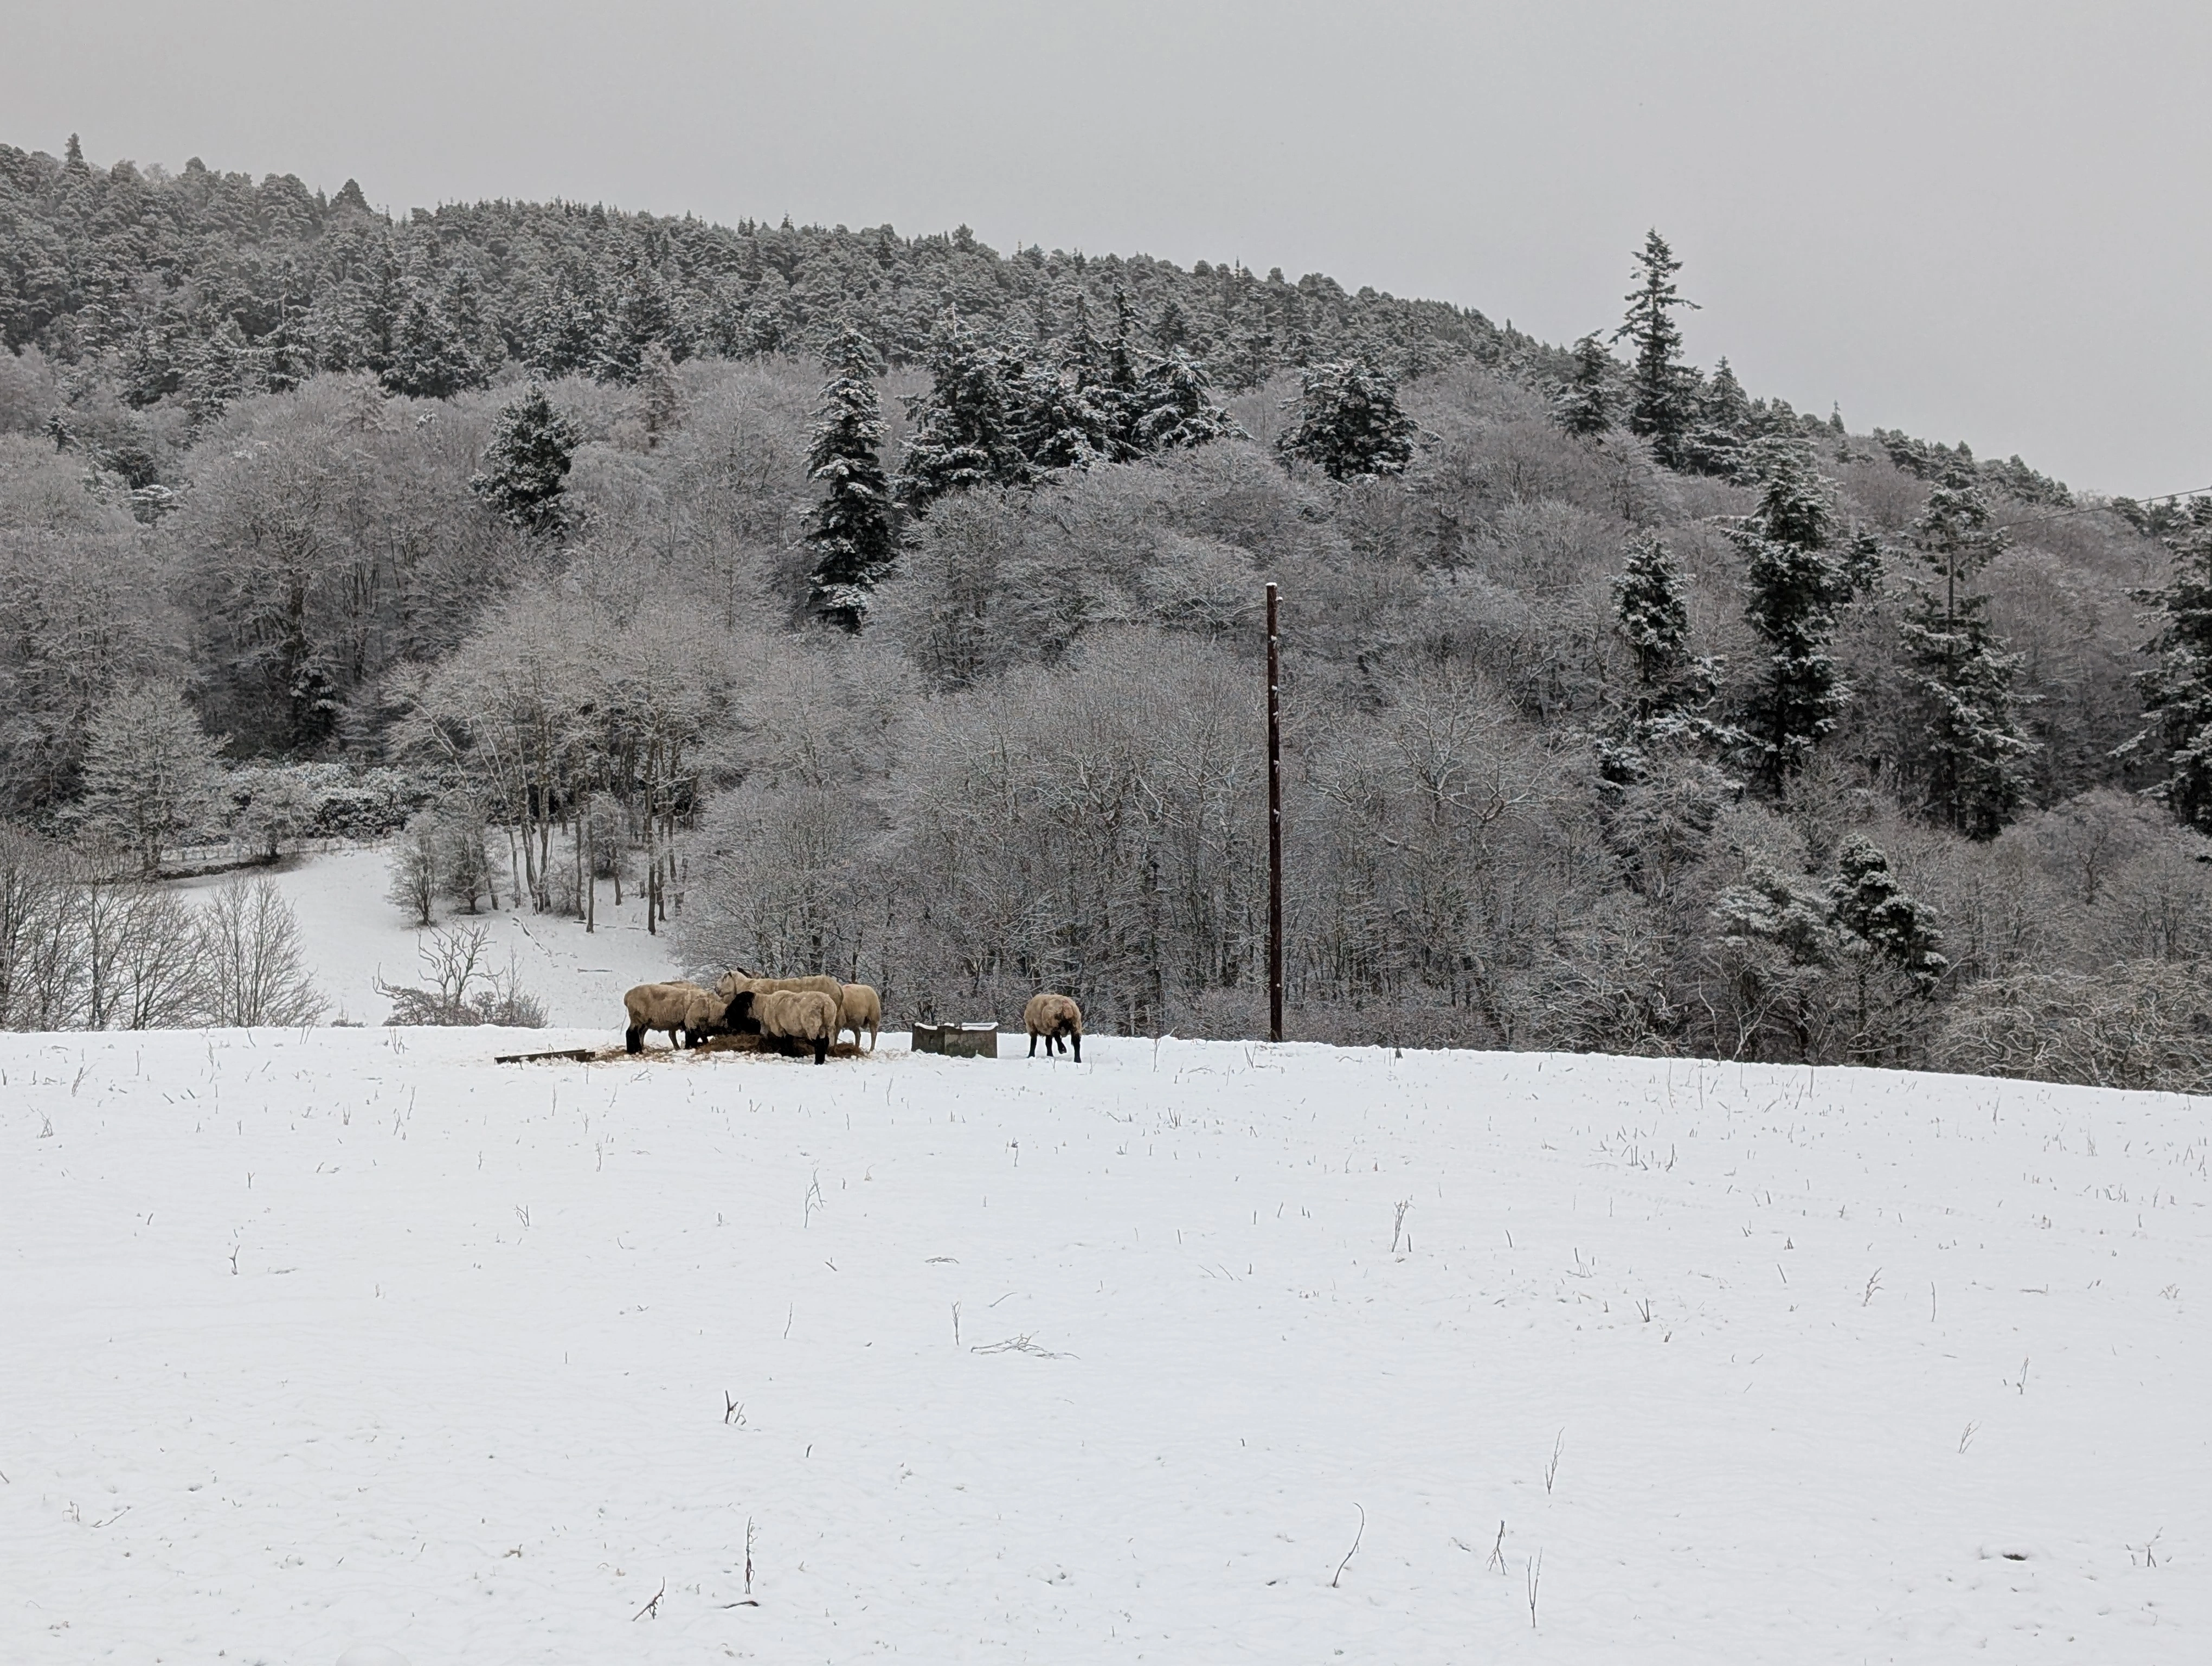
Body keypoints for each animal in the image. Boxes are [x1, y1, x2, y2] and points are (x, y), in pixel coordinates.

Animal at [628, 973, 730, 1053]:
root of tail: (627, 996)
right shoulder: (692, 1023)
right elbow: (692, 1038)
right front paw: (691, 1047)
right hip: (638, 1019)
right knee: (631, 1033)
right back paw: (635, 1050)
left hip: (644, 1021)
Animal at [752, 986, 836, 1066]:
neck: (765, 1006)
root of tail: (825, 1004)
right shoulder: (788, 1028)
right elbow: (789, 1040)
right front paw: (791, 1055)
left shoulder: (778, 1028)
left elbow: (783, 1041)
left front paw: (784, 1054)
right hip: (826, 1025)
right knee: (826, 1041)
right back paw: (821, 1061)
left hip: (813, 1025)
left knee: (819, 1043)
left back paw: (818, 1062)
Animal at [836, 973, 880, 1053]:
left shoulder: (839, 1022)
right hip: (854, 1022)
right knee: (858, 1035)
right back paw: (856, 1049)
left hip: (874, 1018)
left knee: (874, 1034)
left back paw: (871, 1050)